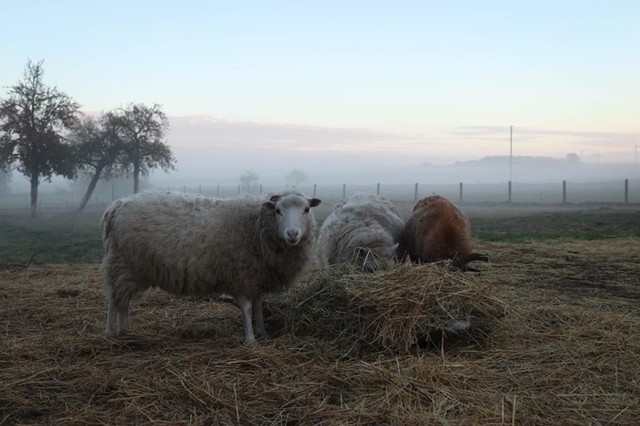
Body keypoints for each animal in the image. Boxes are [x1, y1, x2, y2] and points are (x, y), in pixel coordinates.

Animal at [99, 191, 320, 344]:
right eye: (278, 211)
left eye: (306, 210)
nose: (293, 234)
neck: (256, 227)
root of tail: (117, 205)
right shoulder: (240, 276)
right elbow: (247, 308)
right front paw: (250, 340)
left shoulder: (255, 277)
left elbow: (258, 306)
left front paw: (263, 333)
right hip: (123, 264)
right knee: (114, 300)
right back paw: (111, 331)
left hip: (131, 270)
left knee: (123, 301)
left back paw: (125, 330)